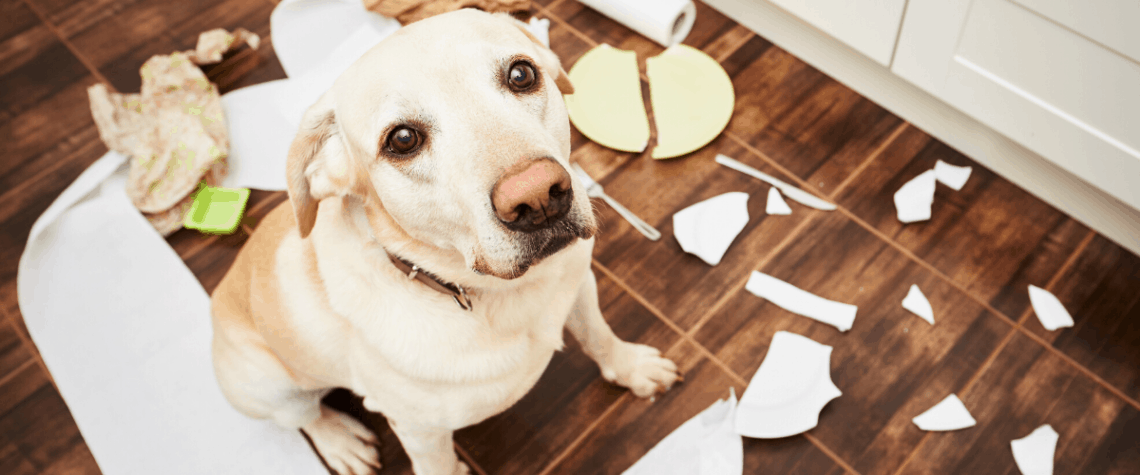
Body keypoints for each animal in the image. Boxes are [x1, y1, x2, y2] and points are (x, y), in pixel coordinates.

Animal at [209, 8, 674, 473]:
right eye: (402, 139)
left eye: (521, 74)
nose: (539, 196)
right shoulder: (421, 432)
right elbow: (439, 464)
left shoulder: (579, 288)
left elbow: (599, 335)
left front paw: (631, 368)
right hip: (271, 386)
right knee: (305, 417)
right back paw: (341, 442)